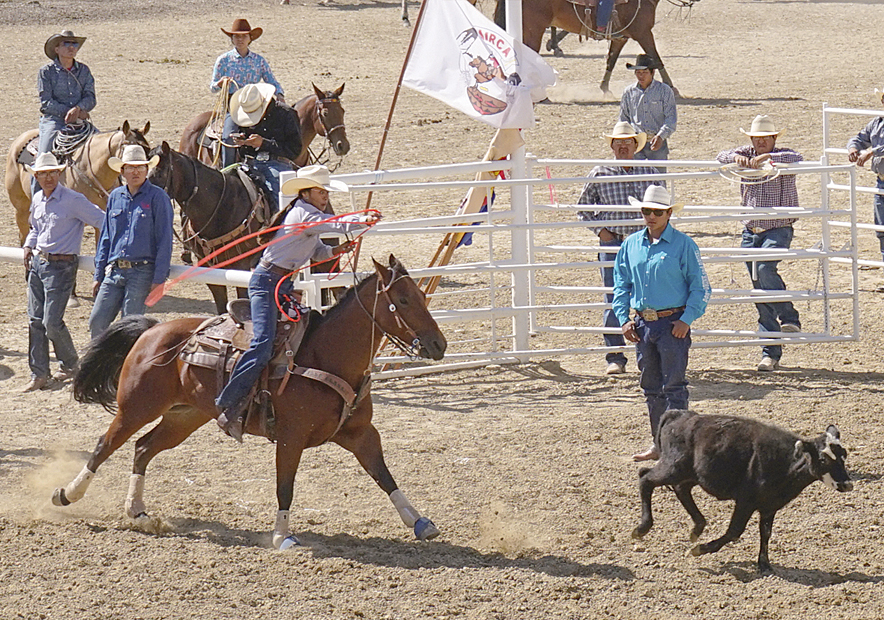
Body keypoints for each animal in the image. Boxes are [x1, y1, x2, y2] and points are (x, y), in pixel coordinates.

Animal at [51, 254, 446, 548]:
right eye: (403, 300)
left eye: (421, 295)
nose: (438, 344)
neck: (325, 355)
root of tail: (152, 329)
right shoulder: (290, 437)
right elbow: (285, 485)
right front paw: (283, 537)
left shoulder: (362, 433)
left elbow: (384, 475)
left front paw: (419, 521)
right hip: (136, 407)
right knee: (105, 445)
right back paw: (66, 495)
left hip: (184, 417)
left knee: (142, 449)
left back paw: (138, 511)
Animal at [494, 0, 696, 95]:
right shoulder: (644, 33)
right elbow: (656, 59)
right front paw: (672, 87)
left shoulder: (621, 38)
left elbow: (611, 60)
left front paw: (604, 88)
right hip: (534, 28)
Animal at [632, 410, 852, 572]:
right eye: (823, 459)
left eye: (844, 455)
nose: (847, 484)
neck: (783, 461)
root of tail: (678, 415)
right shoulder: (746, 501)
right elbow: (734, 531)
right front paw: (699, 550)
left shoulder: (769, 506)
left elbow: (766, 533)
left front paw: (764, 564)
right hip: (673, 468)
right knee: (645, 478)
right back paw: (642, 528)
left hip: (688, 475)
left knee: (680, 489)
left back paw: (697, 527)